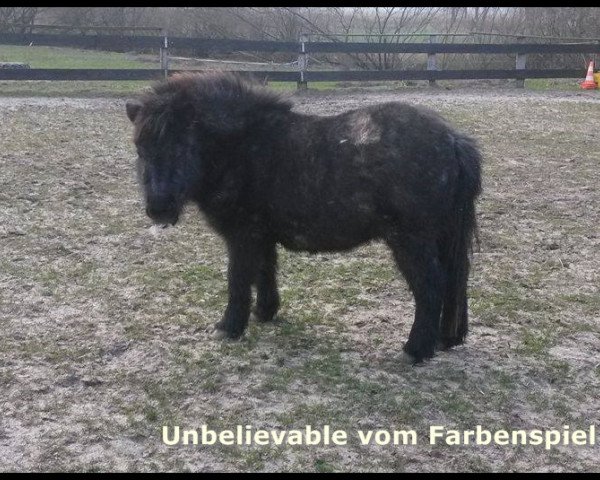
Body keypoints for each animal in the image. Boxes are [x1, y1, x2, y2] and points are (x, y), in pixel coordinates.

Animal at [126, 73, 482, 362]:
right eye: (141, 150)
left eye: (180, 146)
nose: (158, 209)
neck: (241, 148)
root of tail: (452, 140)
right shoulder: (260, 236)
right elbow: (265, 272)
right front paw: (265, 312)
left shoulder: (242, 237)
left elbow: (238, 280)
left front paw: (229, 327)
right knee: (453, 282)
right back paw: (444, 340)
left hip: (411, 241)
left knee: (430, 285)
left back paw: (416, 350)